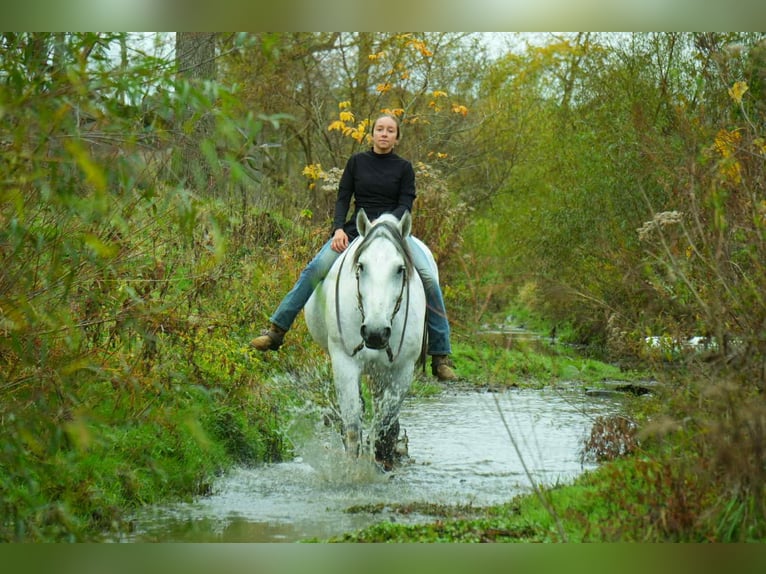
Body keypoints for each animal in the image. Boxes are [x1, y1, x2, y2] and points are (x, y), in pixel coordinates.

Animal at [304, 209, 431, 469]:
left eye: (400, 269)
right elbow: (353, 424)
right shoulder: (344, 363)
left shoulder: (402, 371)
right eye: (361, 266)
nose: (375, 332)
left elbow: (383, 424)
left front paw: (381, 461)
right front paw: (353, 469)